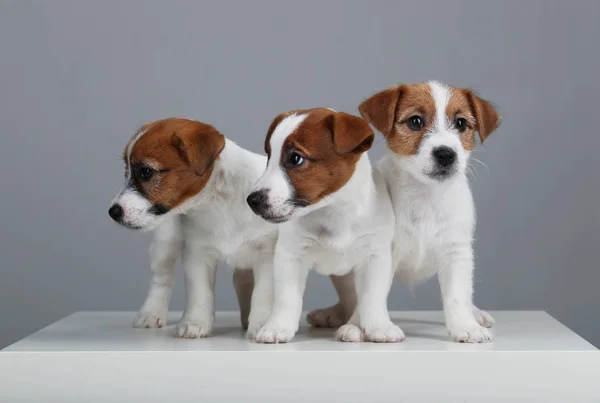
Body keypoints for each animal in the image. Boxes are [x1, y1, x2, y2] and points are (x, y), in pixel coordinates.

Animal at [109, 118, 278, 340]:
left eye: (146, 172)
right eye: (126, 171)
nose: (113, 212)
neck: (217, 202)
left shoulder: (267, 255)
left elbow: (263, 293)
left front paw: (262, 325)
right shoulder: (197, 254)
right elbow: (200, 292)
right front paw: (194, 322)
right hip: (165, 244)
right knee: (161, 279)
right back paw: (150, 313)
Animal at [246, 108, 406, 344]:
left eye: (296, 158)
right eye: (269, 157)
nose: (252, 200)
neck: (332, 212)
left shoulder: (374, 257)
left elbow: (372, 297)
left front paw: (379, 326)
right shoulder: (290, 256)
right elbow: (287, 298)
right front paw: (278, 327)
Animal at [312, 82, 500, 344]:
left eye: (461, 123)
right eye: (415, 121)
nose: (446, 154)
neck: (425, 197)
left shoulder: (455, 253)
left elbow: (457, 295)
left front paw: (466, 325)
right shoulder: (381, 255)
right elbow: (371, 296)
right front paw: (358, 326)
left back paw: (475, 314)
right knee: (350, 298)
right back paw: (334, 314)